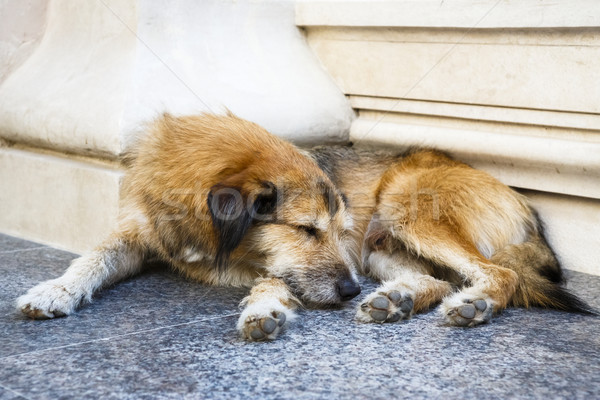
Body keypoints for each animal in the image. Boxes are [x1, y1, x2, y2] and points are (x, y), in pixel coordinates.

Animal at [16, 113, 592, 340]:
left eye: (334, 229)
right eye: (308, 230)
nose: (349, 291)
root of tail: (526, 206)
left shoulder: (280, 263)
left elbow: (273, 281)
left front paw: (264, 311)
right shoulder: (140, 233)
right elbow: (94, 256)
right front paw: (55, 290)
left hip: (404, 206)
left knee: (498, 275)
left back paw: (471, 305)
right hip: (381, 246)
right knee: (433, 279)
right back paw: (395, 300)